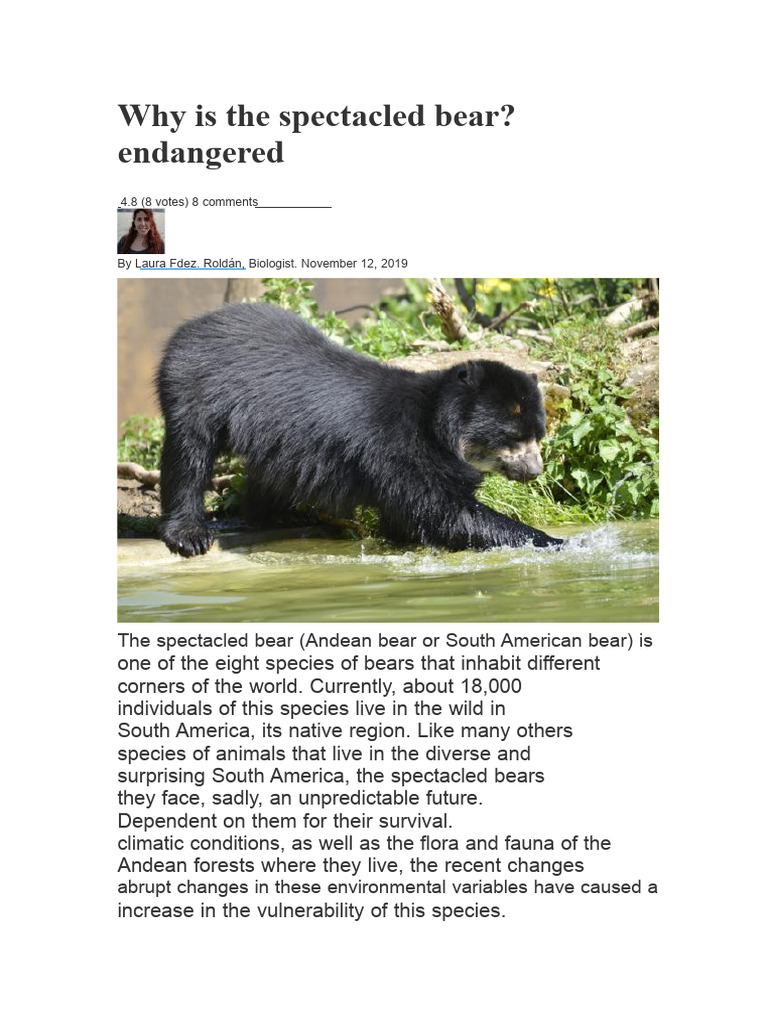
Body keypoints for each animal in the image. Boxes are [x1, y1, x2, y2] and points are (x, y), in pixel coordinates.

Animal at [156, 302, 563, 557]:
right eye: (513, 437)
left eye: (538, 436)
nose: (534, 470)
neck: (436, 424)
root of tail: (191, 326)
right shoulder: (401, 451)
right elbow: (445, 513)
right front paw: (555, 542)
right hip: (195, 388)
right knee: (189, 455)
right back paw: (190, 535)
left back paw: (276, 515)